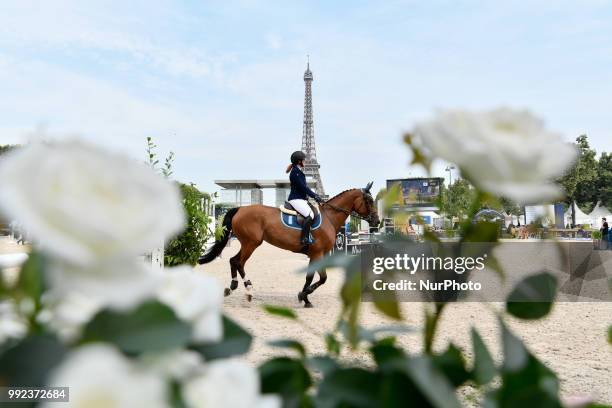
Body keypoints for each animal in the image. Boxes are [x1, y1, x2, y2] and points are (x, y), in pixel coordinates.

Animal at [197, 182, 378, 306]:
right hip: (251, 243)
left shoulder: (317, 254)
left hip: (248, 243)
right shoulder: (317, 253)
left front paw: (305, 297)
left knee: (233, 260)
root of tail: (240, 209)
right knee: (238, 262)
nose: (376, 221)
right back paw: (248, 290)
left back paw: (233, 286)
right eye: (369, 201)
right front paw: (305, 295)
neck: (329, 217)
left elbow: (314, 277)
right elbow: (319, 277)